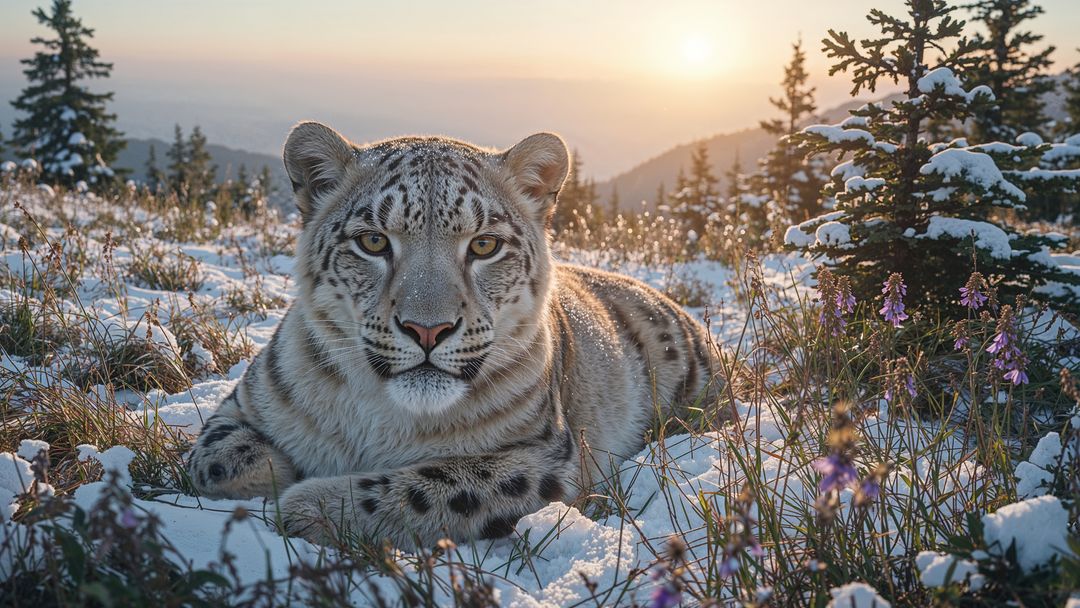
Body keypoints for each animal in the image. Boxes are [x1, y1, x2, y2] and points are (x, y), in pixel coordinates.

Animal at [185, 121, 722, 549]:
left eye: (484, 245)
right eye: (373, 241)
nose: (428, 329)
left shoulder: (545, 458)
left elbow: (435, 485)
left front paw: (305, 505)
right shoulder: (241, 404)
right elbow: (219, 458)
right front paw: (281, 474)